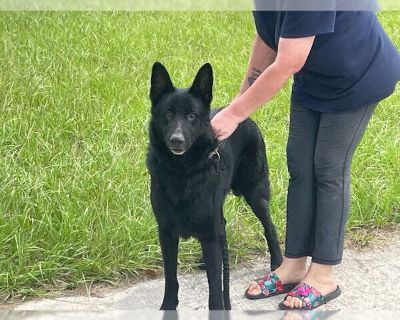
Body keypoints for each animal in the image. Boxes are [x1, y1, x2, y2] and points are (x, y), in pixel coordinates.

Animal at [148, 62, 282, 310]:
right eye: (168, 114)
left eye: (191, 115)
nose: (176, 140)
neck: (183, 172)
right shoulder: (166, 233)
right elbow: (171, 277)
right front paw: (168, 306)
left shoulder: (209, 233)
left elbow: (215, 288)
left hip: (255, 195)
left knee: (269, 226)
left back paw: (278, 261)